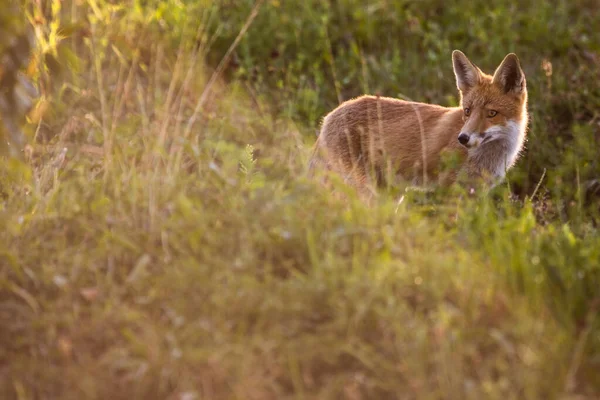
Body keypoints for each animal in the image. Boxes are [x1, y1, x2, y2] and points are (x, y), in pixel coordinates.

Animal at [312, 50, 528, 195]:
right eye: (467, 111)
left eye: (492, 113)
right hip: (362, 189)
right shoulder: (448, 190)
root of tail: (328, 116)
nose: (463, 138)